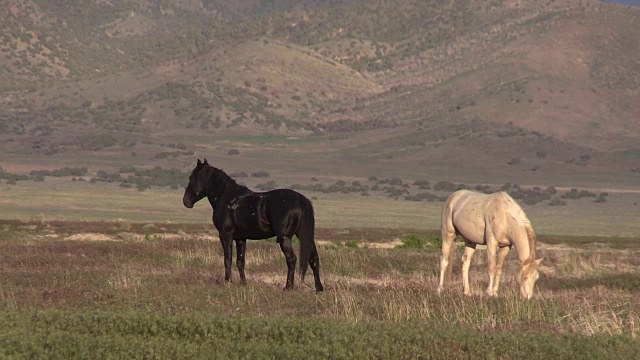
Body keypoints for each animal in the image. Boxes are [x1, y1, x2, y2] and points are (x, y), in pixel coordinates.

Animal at [184, 159, 324, 292]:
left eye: (192, 177)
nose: (186, 201)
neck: (227, 198)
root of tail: (302, 200)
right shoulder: (240, 238)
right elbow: (240, 261)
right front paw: (244, 283)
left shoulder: (225, 234)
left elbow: (227, 259)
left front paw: (228, 282)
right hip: (304, 236)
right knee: (313, 259)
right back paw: (319, 288)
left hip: (285, 238)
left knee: (292, 259)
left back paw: (288, 287)